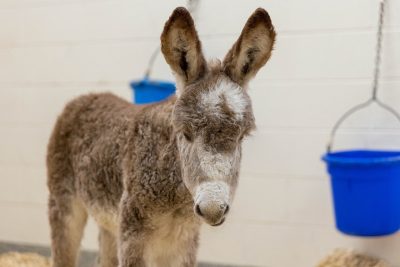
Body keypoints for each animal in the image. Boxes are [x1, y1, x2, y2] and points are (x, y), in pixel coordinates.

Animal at [47, 6, 276, 267]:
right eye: (185, 133)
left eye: (241, 137)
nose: (212, 209)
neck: (176, 200)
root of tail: (86, 97)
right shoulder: (133, 235)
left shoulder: (184, 242)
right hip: (63, 201)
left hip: (108, 219)